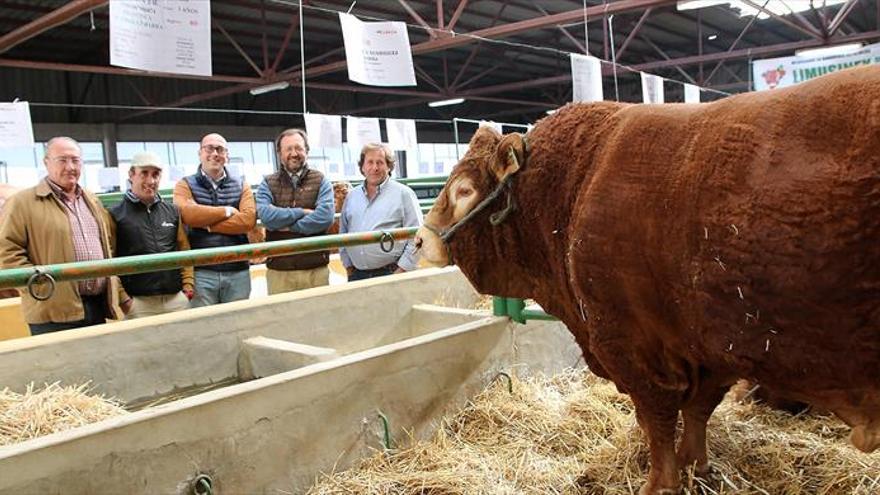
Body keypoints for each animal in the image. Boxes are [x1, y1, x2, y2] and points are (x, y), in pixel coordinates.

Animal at [414, 66, 880, 495]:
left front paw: (659, 482)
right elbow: (698, 410)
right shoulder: (709, 348)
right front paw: (696, 466)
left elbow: (657, 418)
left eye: (463, 190)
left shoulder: (629, 341)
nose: (420, 240)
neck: (573, 186)